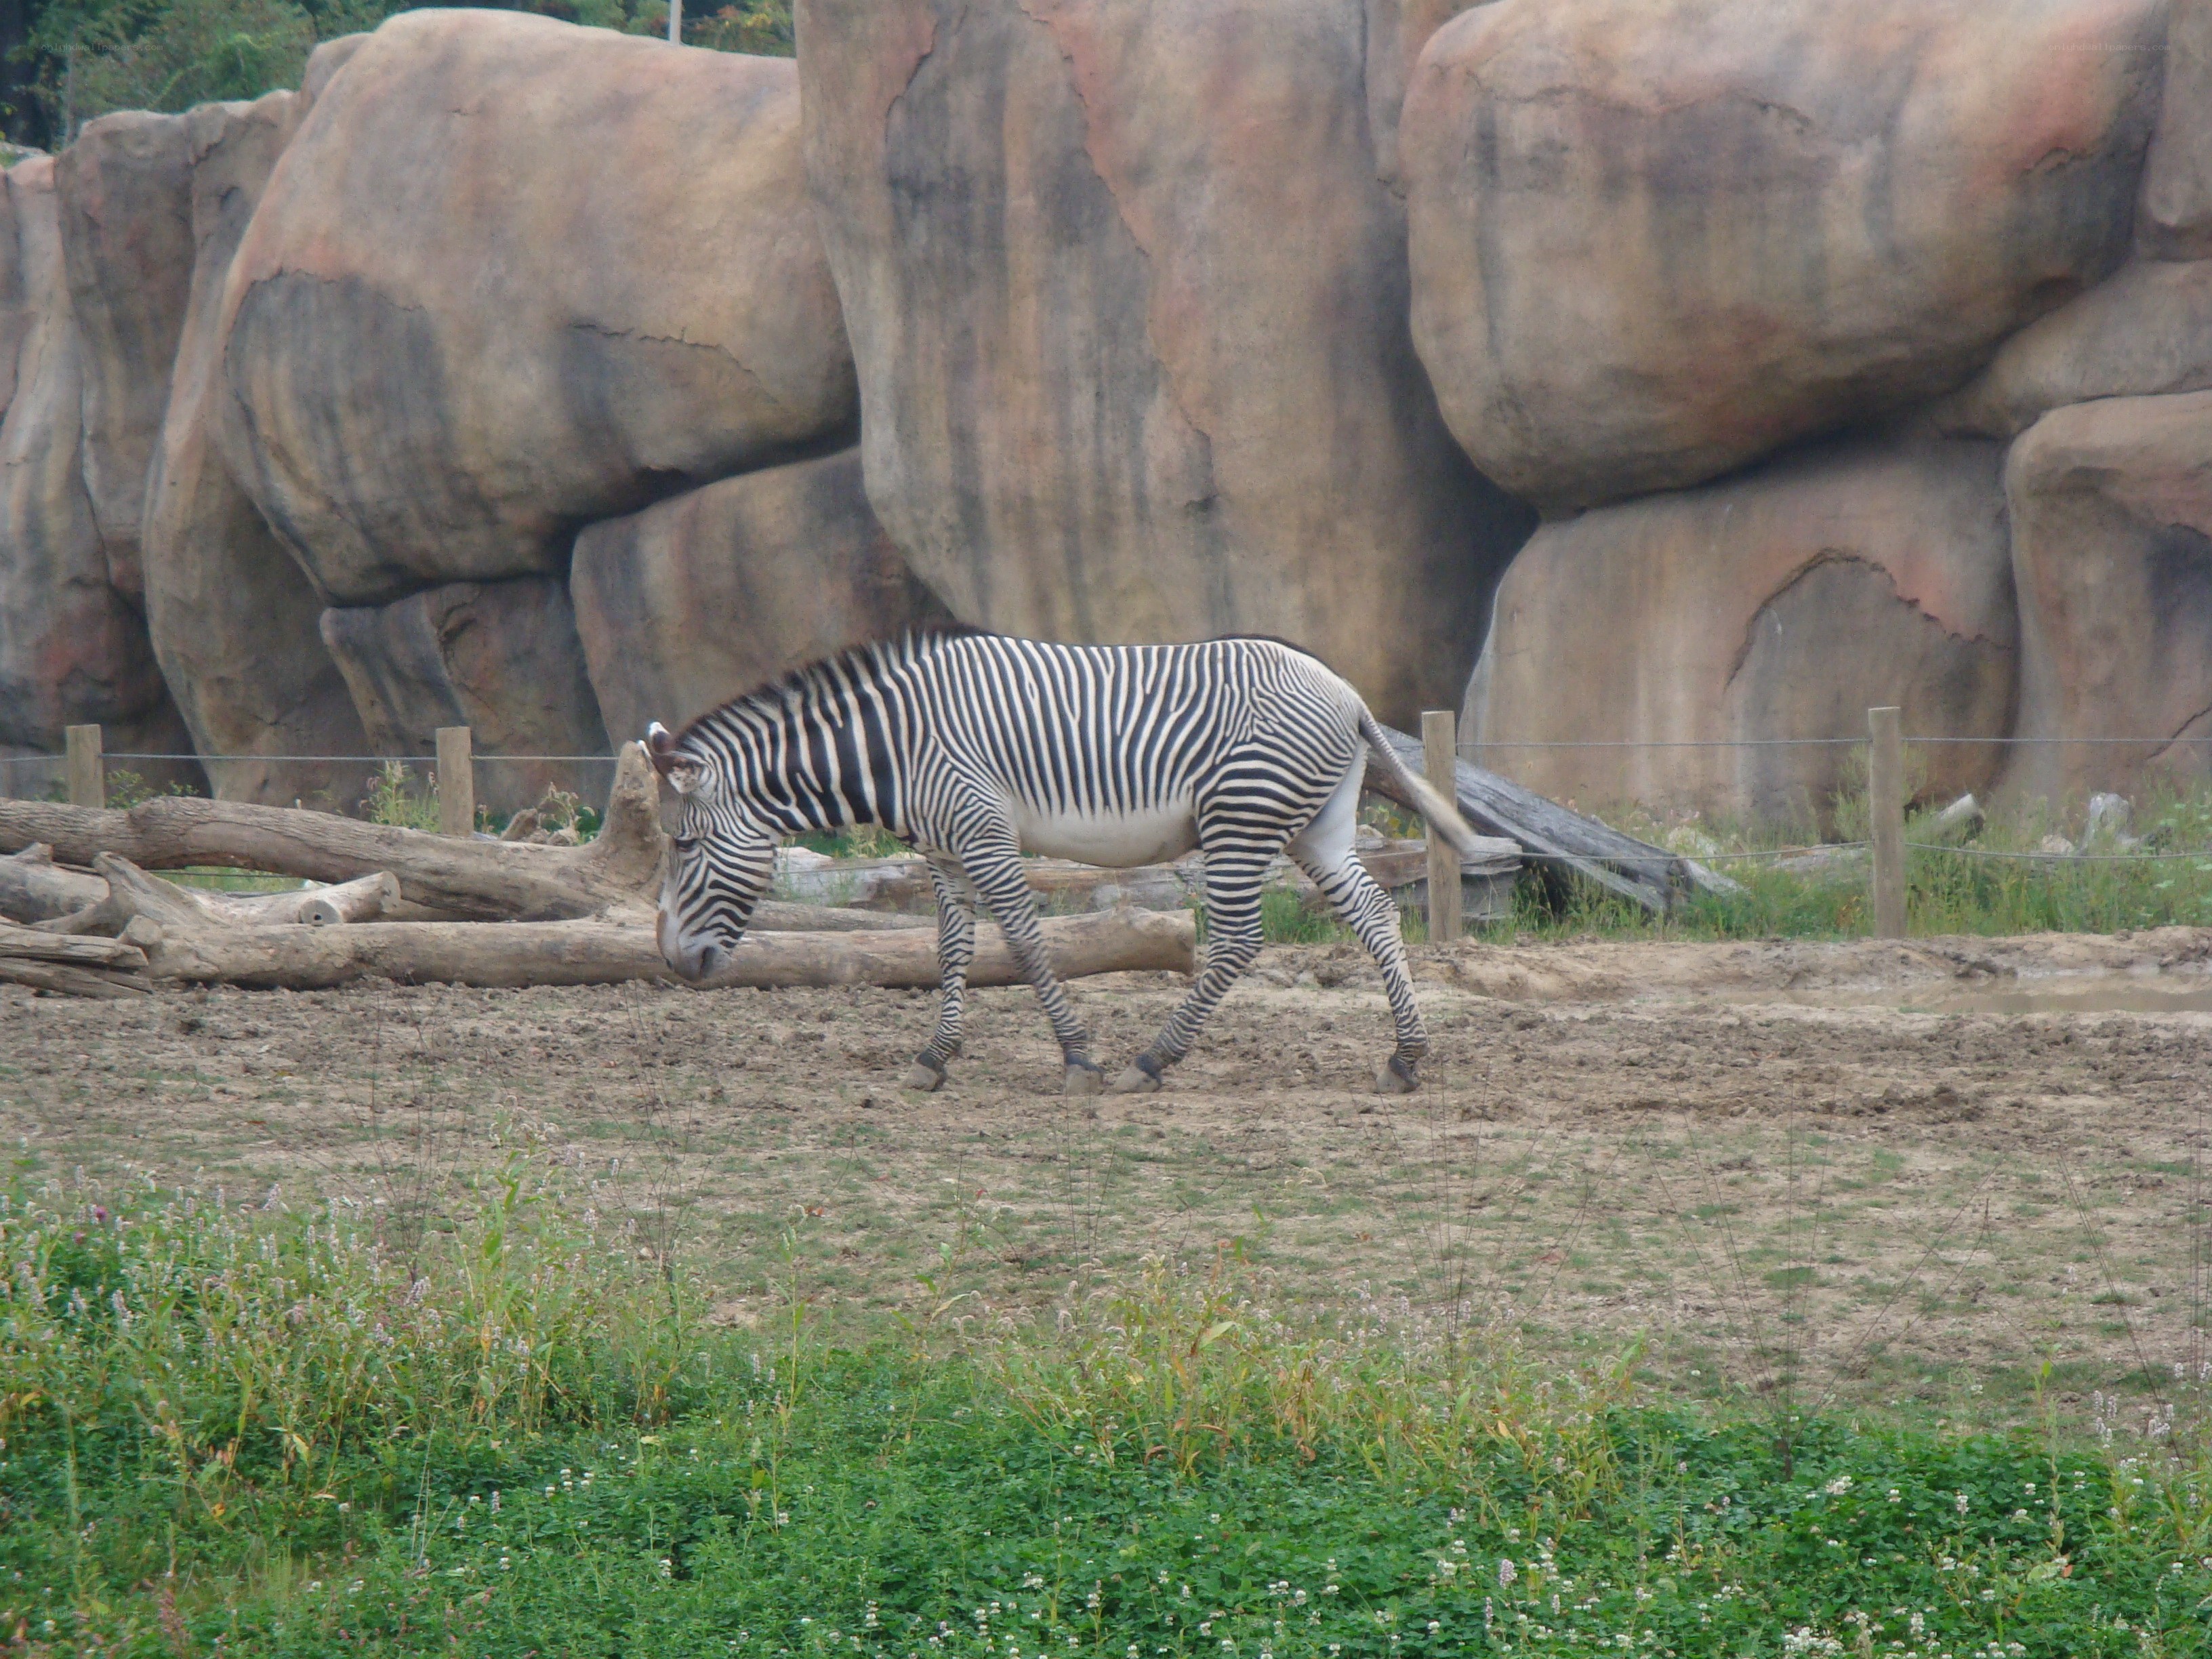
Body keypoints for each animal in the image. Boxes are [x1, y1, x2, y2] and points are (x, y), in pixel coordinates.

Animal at [646, 629, 1483, 1096]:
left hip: (1241, 816)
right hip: (1318, 824)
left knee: (1241, 938)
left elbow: (1021, 939)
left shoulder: (983, 832)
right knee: (1375, 913)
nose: (676, 963)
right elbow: (952, 949)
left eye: (682, 845)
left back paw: (1151, 1060)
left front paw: (1079, 1059)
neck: (896, 746)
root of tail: (1346, 693)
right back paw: (1405, 1058)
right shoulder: (945, 852)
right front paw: (934, 1058)